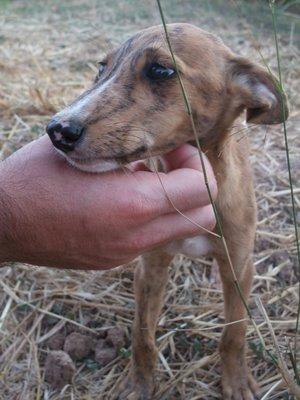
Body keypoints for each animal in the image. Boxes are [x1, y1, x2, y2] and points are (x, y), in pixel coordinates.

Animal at [46, 23, 288, 398]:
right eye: (102, 67)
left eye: (161, 70)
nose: (58, 130)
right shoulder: (151, 265)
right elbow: (142, 332)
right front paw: (140, 382)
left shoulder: (240, 266)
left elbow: (234, 331)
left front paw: (235, 379)